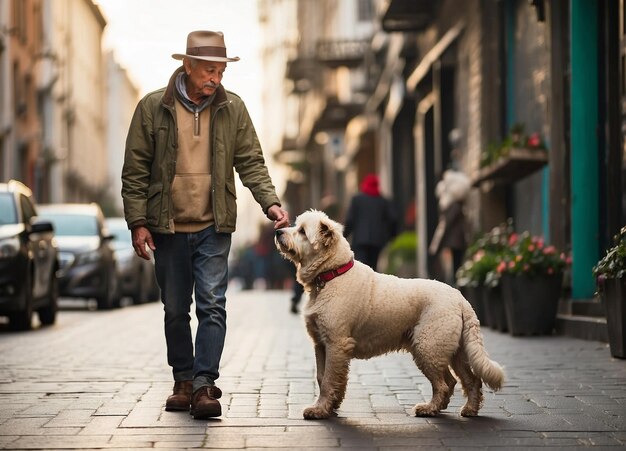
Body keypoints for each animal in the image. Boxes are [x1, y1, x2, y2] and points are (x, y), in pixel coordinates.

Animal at [272, 211, 502, 420]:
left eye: (302, 231)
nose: (278, 231)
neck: (331, 275)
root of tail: (461, 300)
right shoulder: (321, 344)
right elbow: (323, 377)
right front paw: (331, 406)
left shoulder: (336, 343)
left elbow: (328, 379)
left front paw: (320, 410)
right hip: (452, 351)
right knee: (469, 380)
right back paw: (468, 409)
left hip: (428, 347)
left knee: (445, 384)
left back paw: (429, 409)